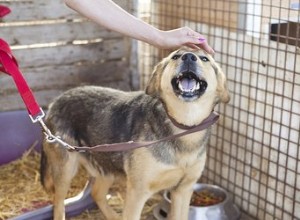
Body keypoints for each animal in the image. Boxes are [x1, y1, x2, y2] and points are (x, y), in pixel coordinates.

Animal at [40, 46, 230, 220]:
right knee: (58, 204)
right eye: (175, 56)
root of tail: (56, 101)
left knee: (96, 193)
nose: (189, 57)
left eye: (204, 59)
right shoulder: (137, 193)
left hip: (106, 166)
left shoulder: (183, 191)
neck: (183, 127)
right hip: (66, 170)